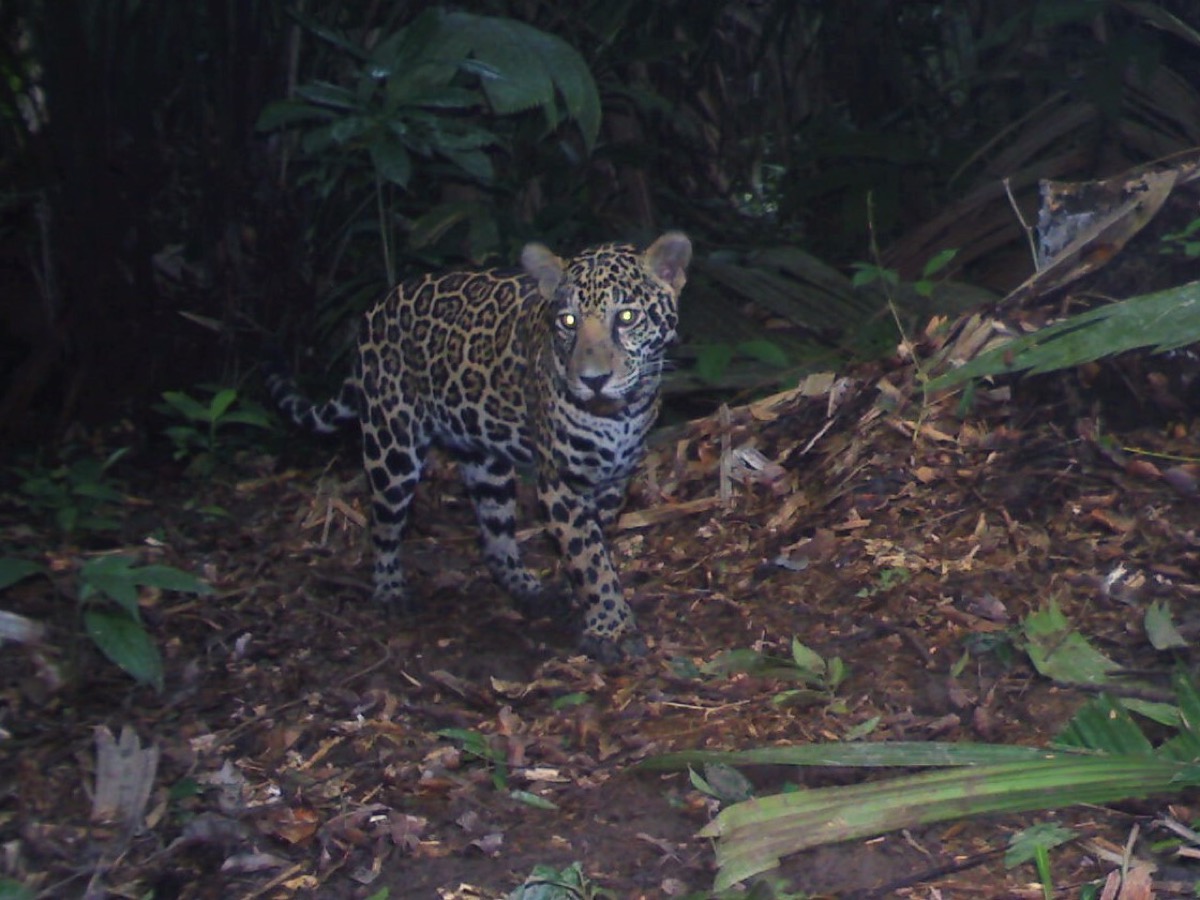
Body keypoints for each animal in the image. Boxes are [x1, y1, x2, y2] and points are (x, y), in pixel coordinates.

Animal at [269, 232, 692, 661]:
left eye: (627, 317)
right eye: (568, 321)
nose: (593, 380)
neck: (622, 412)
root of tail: (375, 308)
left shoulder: (613, 480)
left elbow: (593, 544)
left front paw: (585, 600)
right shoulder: (561, 483)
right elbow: (588, 556)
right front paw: (610, 627)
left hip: (484, 461)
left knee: (493, 536)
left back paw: (530, 589)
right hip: (392, 447)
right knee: (383, 524)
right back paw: (390, 591)